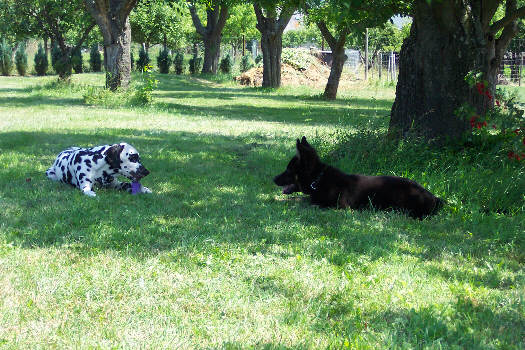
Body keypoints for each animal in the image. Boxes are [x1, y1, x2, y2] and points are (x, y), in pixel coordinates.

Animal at [274, 137, 442, 219]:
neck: (319, 179)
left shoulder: (338, 206)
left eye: (289, 170)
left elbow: (304, 201)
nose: (273, 179)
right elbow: (300, 198)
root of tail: (434, 197)